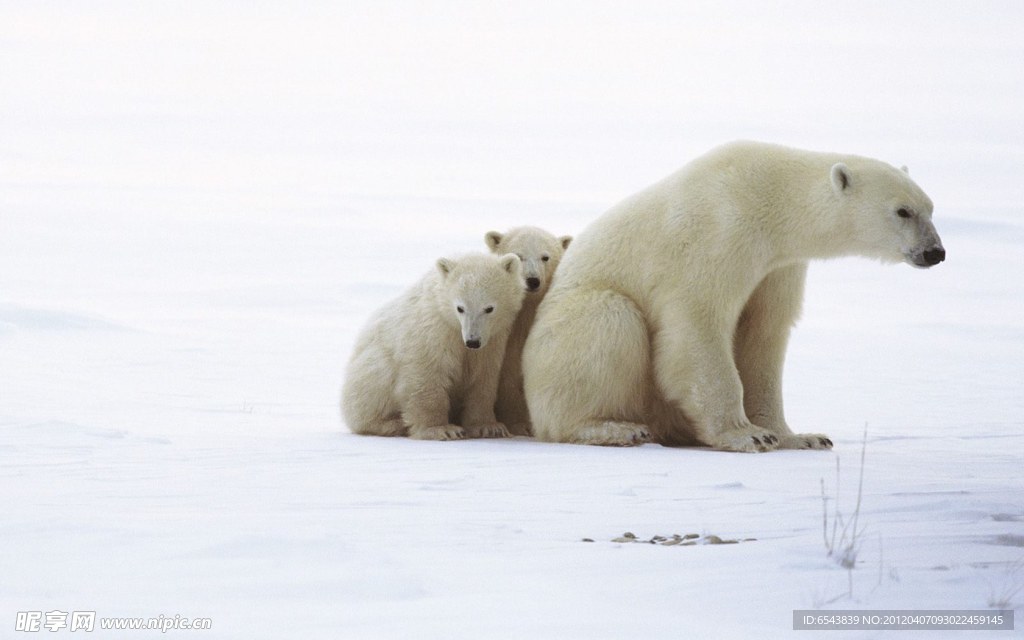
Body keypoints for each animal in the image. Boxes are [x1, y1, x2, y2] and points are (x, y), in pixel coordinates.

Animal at [524, 141, 946, 448]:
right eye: (903, 211)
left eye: (930, 207)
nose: (935, 252)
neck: (769, 196)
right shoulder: (718, 235)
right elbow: (699, 326)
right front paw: (748, 435)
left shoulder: (777, 266)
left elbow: (764, 334)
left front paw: (800, 436)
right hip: (566, 331)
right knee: (609, 320)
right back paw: (614, 428)